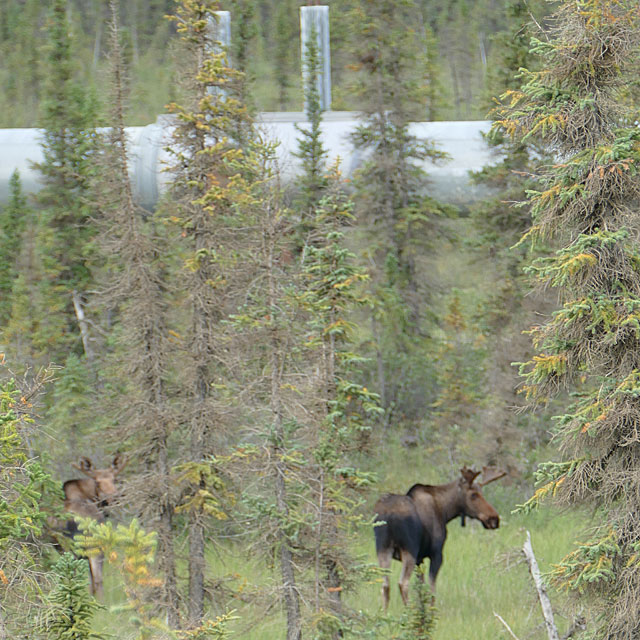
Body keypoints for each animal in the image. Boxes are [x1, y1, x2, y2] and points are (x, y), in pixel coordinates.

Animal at [372, 464, 508, 604]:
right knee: (402, 583)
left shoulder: (419, 559)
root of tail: (389, 515)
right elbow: (431, 591)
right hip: (409, 549)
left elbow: (421, 590)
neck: (445, 511)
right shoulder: (436, 553)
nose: (494, 519)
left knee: (385, 585)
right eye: (473, 495)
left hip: (383, 548)